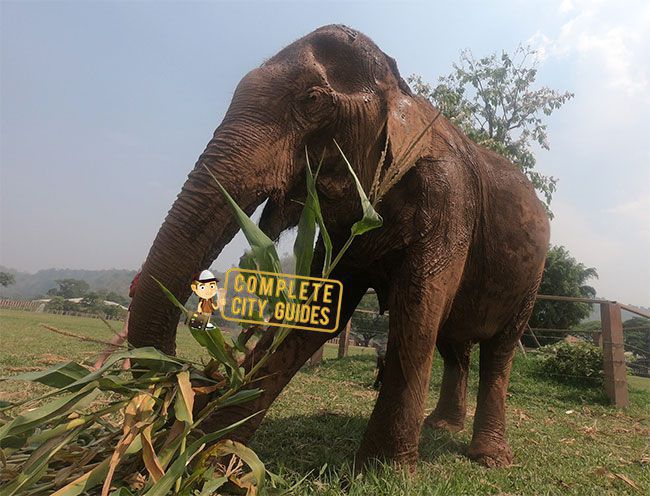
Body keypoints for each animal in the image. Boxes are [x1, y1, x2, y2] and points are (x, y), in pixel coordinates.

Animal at [128, 24, 550, 469]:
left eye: (312, 101)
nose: (196, 378)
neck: (403, 93)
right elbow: (321, 304)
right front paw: (205, 459)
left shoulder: (448, 199)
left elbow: (419, 309)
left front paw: (385, 472)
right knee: (455, 345)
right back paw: (442, 427)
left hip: (531, 280)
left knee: (498, 351)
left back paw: (491, 458)